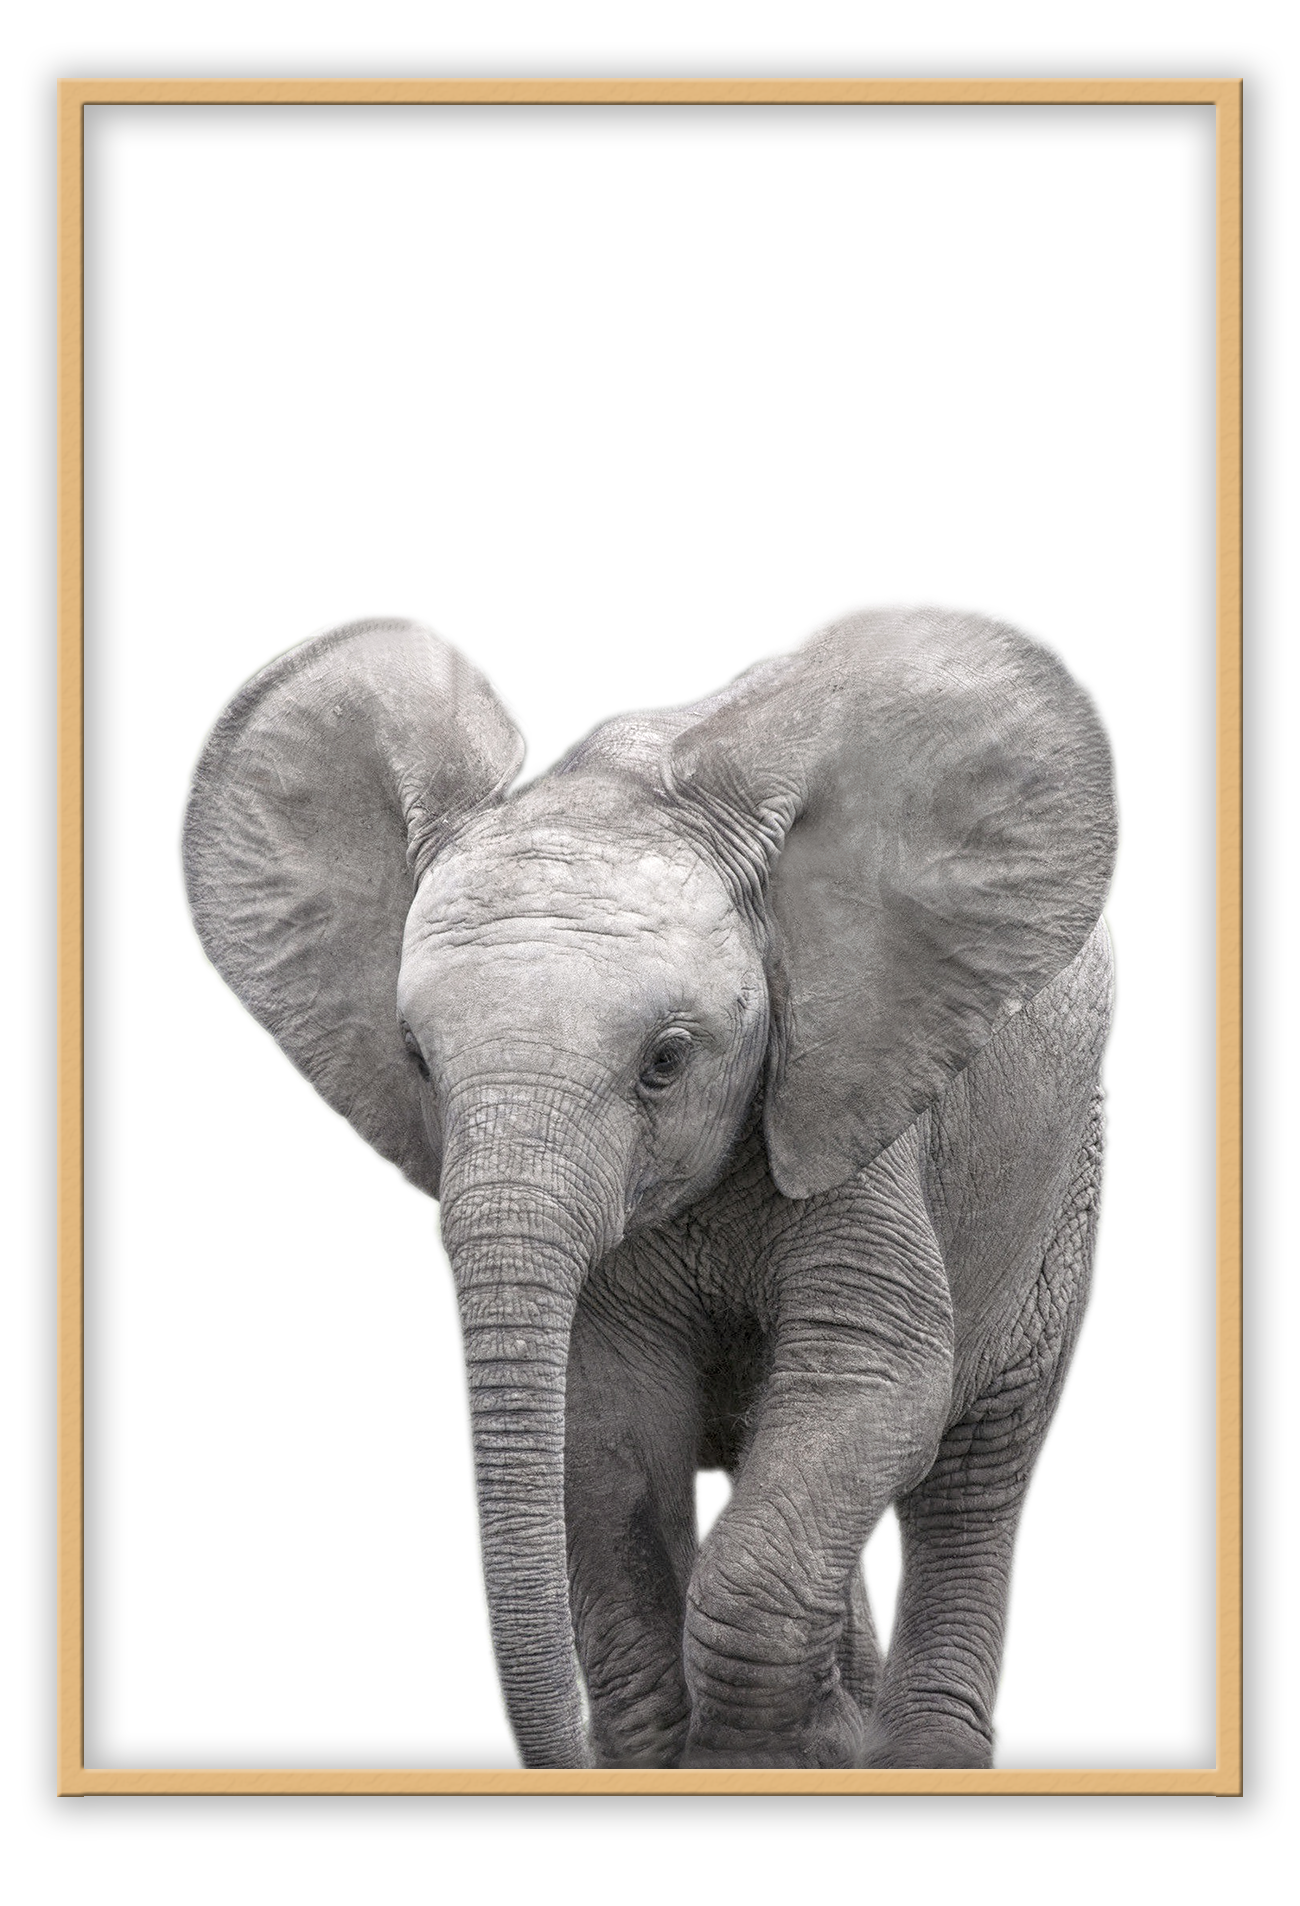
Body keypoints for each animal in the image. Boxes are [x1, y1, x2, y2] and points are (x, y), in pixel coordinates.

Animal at [183, 605, 1116, 1772]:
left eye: (666, 1060)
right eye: (417, 1061)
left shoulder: (856, 1106)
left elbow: (876, 1380)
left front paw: (772, 1755)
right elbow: (609, 1427)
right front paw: (714, 1748)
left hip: (1062, 1174)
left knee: (978, 1462)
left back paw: (911, 1751)